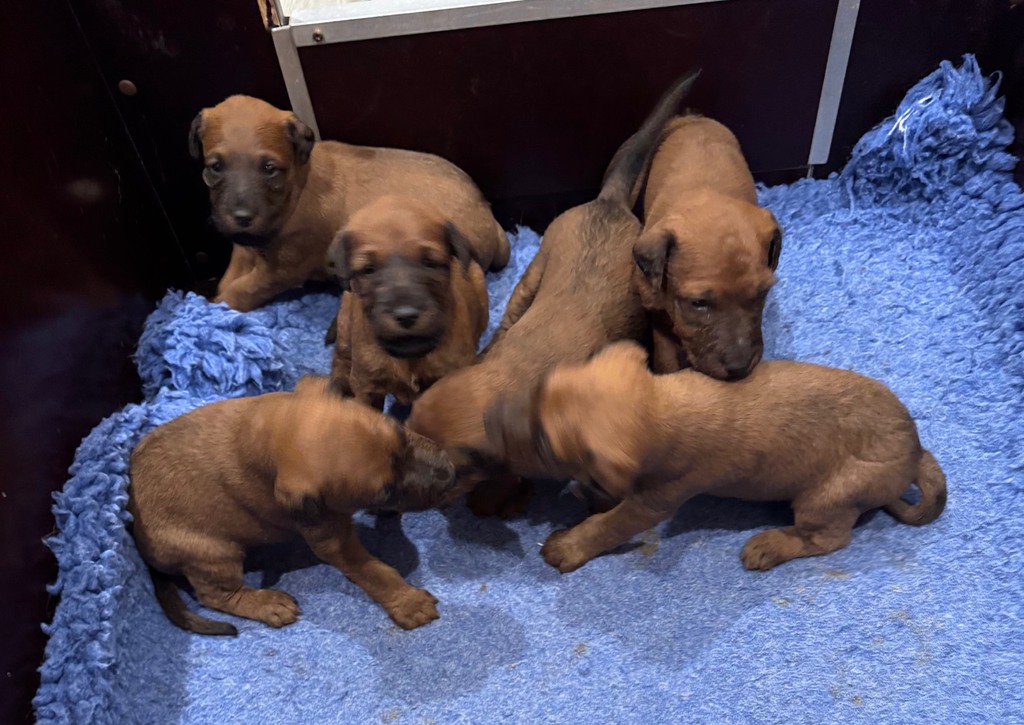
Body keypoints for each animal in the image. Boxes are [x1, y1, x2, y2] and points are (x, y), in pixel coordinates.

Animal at [128, 376, 459, 635]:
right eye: (384, 492)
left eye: (401, 434)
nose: (450, 474)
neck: (264, 433)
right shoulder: (331, 539)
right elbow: (374, 570)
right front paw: (408, 602)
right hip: (214, 553)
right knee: (215, 595)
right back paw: (267, 603)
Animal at [188, 95, 510, 312]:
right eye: (215, 167)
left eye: (269, 168)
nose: (241, 217)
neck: (298, 187)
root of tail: (490, 219)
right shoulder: (246, 250)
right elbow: (230, 276)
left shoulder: (282, 270)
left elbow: (240, 291)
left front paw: (212, 307)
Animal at [327, 195, 490, 408]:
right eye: (368, 269)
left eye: (430, 263)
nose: (406, 316)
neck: (410, 357)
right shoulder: (367, 385)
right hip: (346, 318)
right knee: (340, 357)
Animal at [484, 340, 947, 573]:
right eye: (540, 387)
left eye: (545, 443)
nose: (488, 419)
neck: (662, 409)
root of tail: (915, 450)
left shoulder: (652, 503)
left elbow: (608, 526)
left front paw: (571, 545)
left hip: (826, 498)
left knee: (828, 538)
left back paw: (769, 545)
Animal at [632, 114, 782, 379]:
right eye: (698, 303)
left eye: (762, 293)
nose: (739, 368)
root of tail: (693, 117)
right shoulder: (655, 310)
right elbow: (666, 357)